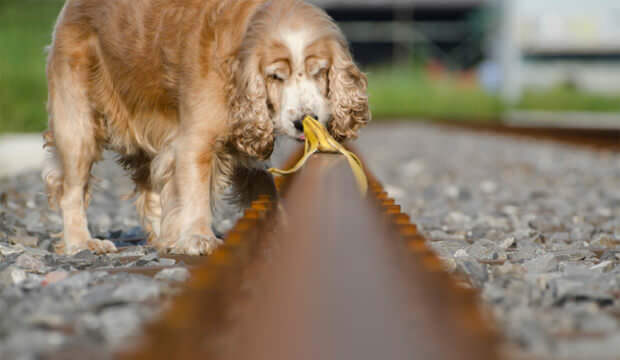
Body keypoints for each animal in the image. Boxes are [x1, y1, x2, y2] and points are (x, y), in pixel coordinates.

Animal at [42, 0, 368, 255]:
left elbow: (263, 185)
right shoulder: (195, 140)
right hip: (78, 124)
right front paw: (198, 238)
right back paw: (81, 242)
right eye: (275, 76)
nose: (303, 120)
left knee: (150, 186)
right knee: (70, 188)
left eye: (320, 72)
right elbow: (195, 190)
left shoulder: (241, 138)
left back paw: (163, 237)